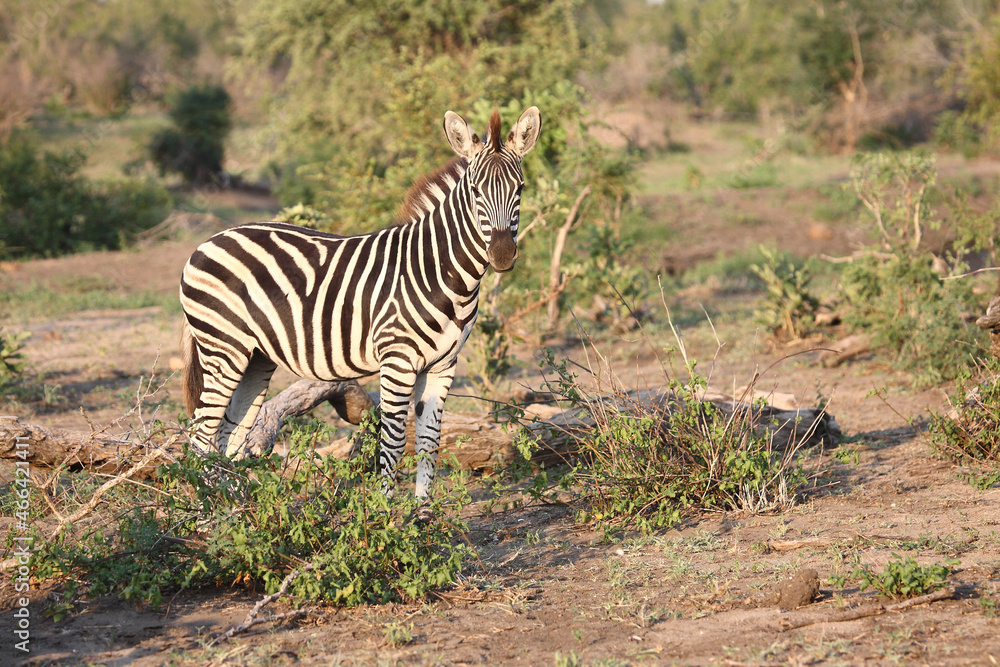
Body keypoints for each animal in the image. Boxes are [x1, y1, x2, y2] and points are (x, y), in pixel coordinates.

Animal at [179, 106, 541, 496]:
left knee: (229, 433)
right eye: (475, 191)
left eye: (520, 188)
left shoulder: (444, 364)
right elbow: (394, 442)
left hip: (255, 358)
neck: (443, 274)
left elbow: (429, 442)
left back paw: (233, 504)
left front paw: (422, 511)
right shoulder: (397, 361)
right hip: (224, 349)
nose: (502, 255)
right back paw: (206, 504)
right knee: (200, 434)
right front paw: (385, 509)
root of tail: (208, 241)